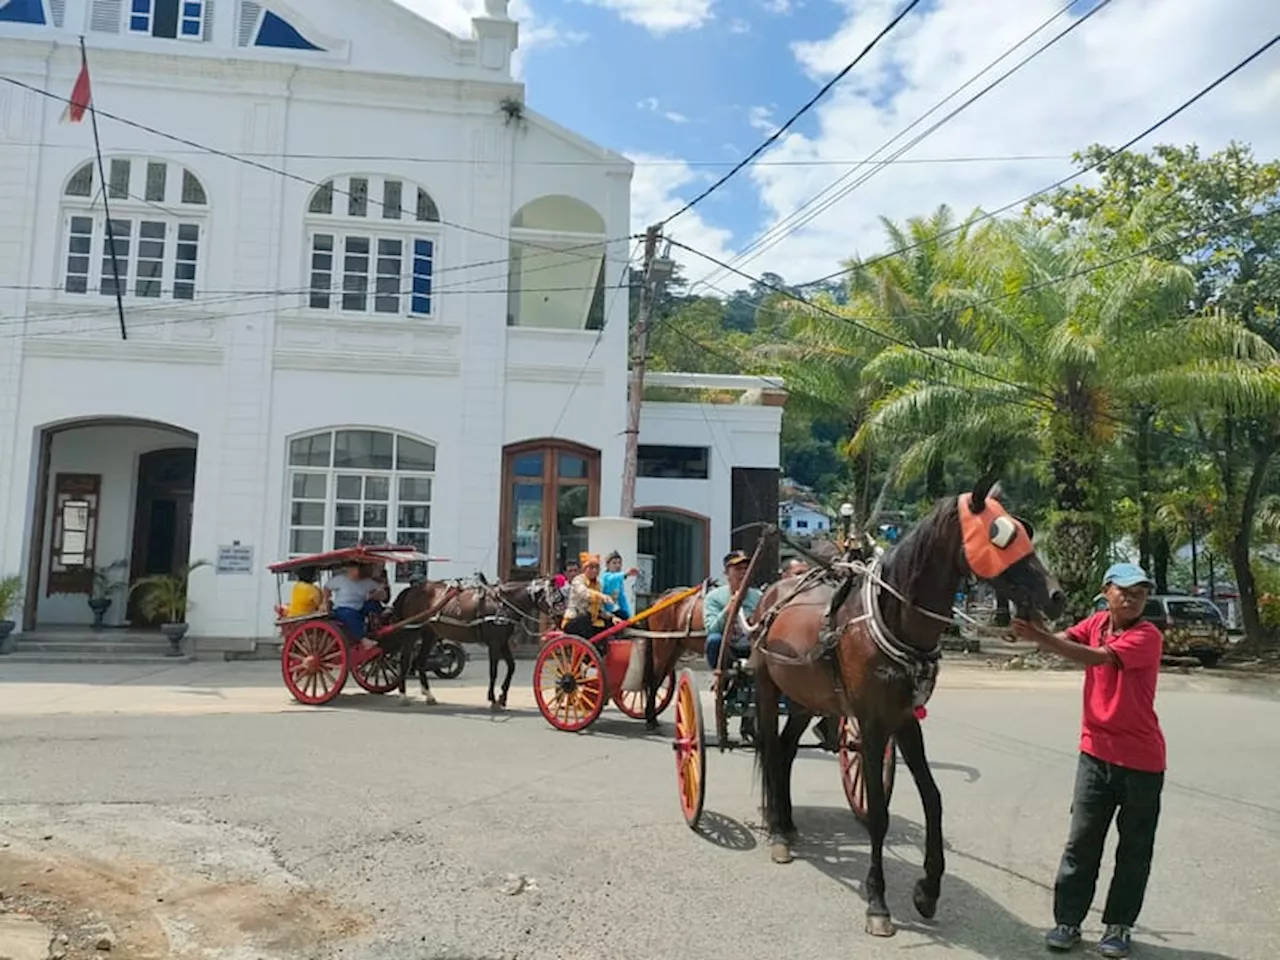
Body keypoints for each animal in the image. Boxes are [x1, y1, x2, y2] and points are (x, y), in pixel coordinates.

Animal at [391, 576, 563, 711]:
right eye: (555, 597)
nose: (561, 617)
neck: (502, 604)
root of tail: (412, 589)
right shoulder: (494, 643)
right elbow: (493, 671)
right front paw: (493, 700)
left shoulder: (503, 642)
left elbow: (511, 667)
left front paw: (502, 697)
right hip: (413, 630)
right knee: (405, 660)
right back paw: (403, 695)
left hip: (430, 633)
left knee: (420, 661)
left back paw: (429, 695)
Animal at [747, 478, 1064, 942]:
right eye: (1000, 535)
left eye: (1025, 529)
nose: (1056, 596)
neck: (891, 620)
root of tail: (774, 592)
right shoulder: (872, 723)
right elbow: (878, 814)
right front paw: (878, 902)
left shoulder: (905, 720)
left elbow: (933, 798)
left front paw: (928, 890)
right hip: (769, 687)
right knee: (771, 750)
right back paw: (776, 832)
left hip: (807, 697)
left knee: (786, 750)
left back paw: (786, 823)